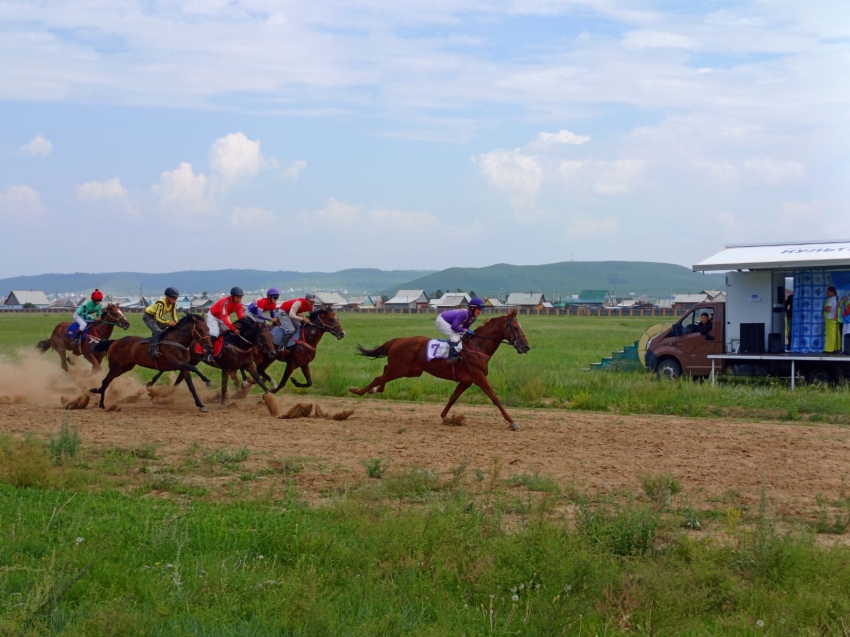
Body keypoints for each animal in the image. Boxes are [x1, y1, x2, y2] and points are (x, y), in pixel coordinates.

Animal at [348, 308, 528, 428]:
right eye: (516, 327)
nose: (526, 347)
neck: (477, 347)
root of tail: (397, 340)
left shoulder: (467, 381)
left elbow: (453, 398)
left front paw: (445, 417)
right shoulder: (478, 377)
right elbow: (495, 398)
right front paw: (512, 422)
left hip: (411, 371)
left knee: (384, 371)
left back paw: (376, 389)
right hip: (400, 369)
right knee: (379, 377)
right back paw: (358, 390)